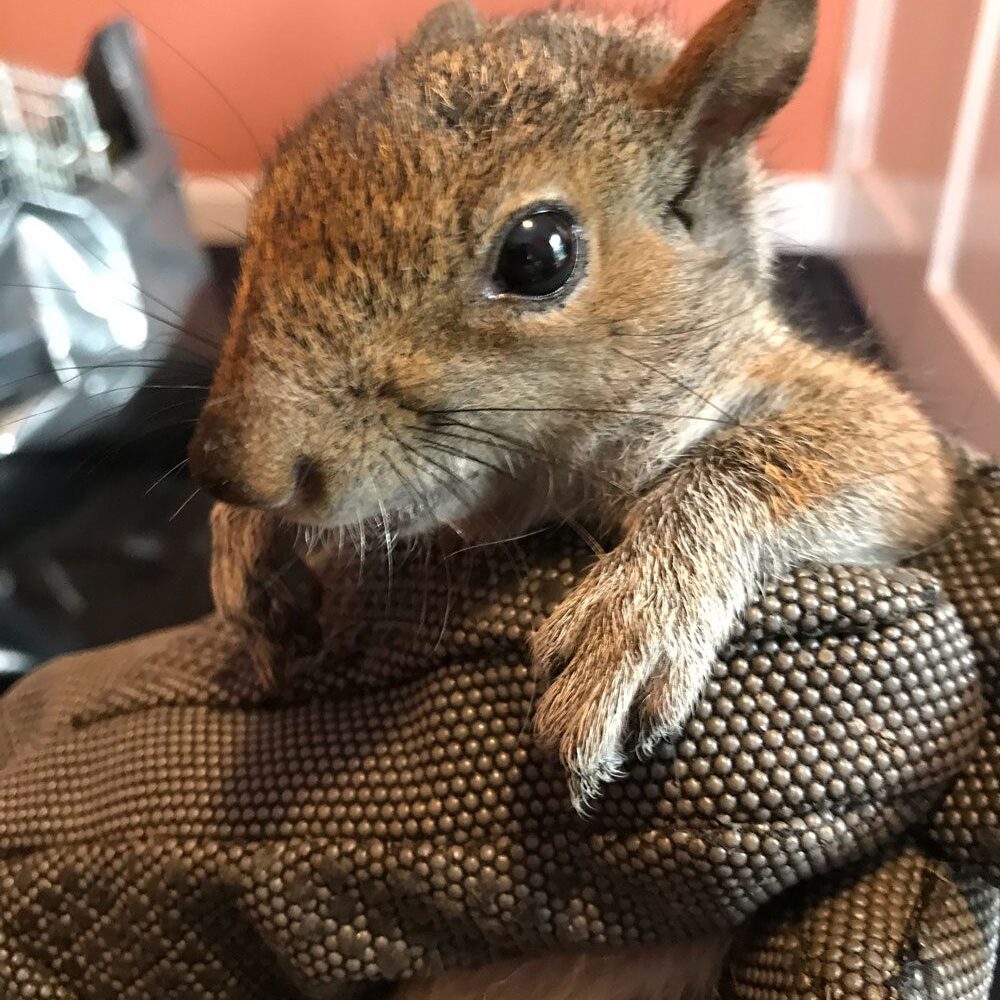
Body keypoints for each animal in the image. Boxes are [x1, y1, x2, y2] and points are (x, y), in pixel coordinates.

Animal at [189, 0, 953, 864]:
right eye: (268, 197)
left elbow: (806, 455)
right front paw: (242, 549)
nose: (228, 469)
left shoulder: (840, 414)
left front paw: (636, 619)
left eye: (538, 253)